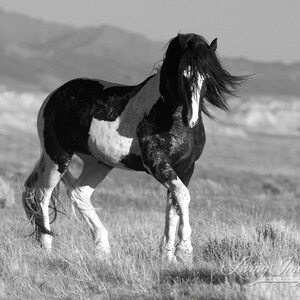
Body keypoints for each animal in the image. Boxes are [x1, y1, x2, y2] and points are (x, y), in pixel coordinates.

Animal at [21, 32, 246, 262]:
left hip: (98, 163)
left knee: (78, 193)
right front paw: (184, 251)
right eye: (183, 75)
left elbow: (174, 205)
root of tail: (54, 95)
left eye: (207, 78)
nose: (190, 119)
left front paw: (168, 256)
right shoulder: (156, 164)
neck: (165, 113)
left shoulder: (185, 168)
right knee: (43, 194)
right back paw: (47, 245)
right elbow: (183, 196)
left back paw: (103, 249)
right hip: (57, 158)